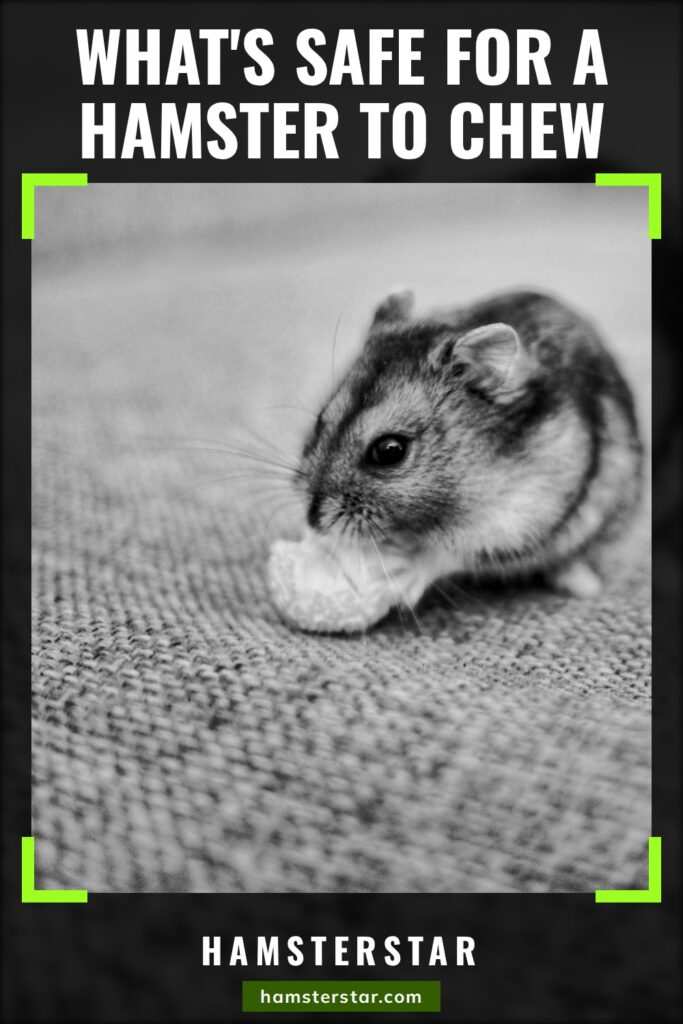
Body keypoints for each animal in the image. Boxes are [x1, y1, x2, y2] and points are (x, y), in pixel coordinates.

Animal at [298, 289, 643, 601]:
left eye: (389, 450)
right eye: (319, 421)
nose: (313, 523)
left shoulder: (520, 519)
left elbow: (451, 555)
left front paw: (400, 573)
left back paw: (586, 587)